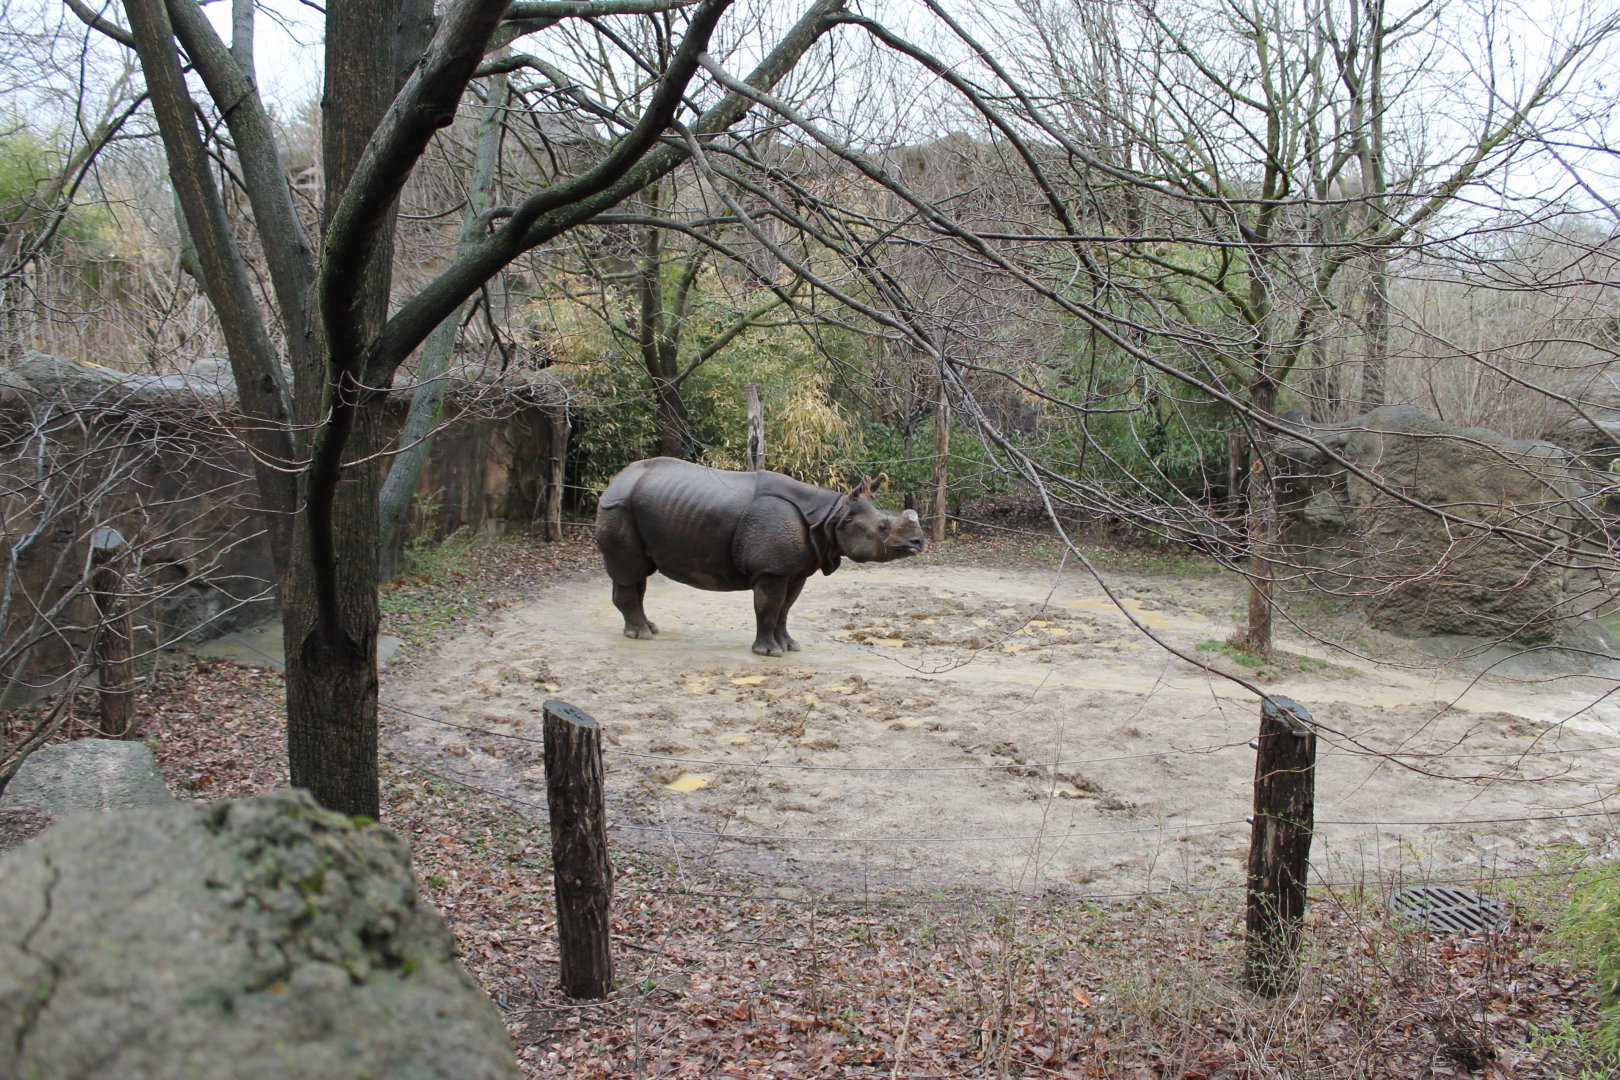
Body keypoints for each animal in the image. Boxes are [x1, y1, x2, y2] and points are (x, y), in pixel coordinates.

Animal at [595, 457, 927, 656]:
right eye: (882, 527)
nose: (919, 542)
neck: (832, 516)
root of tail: (614, 481)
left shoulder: (796, 570)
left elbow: (785, 609)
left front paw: (790, 645)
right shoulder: (771, 569)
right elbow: (769, 607)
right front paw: (769, 653)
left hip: (634, 507)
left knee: (639, 574)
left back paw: (649, 628)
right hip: (618, 508)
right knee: (629, 570)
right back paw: (641, 635)